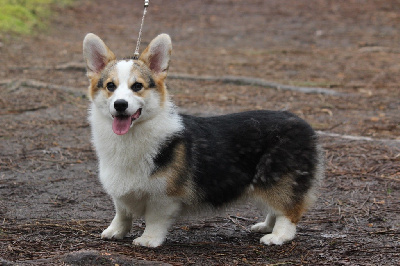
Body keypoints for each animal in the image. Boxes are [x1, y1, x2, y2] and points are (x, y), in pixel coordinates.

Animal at [83, 32, 324, 247]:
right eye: (110, 86)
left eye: (137, 86)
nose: (120, 105)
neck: (132, 136)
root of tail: (303, 123)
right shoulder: (119, 190)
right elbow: (121, 213)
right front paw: (115, 231)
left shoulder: (164, 197)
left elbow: (155, 220)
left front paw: (148, 240)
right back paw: (265, 226)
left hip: (278, 180)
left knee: (288, 211)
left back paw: (277, 236)